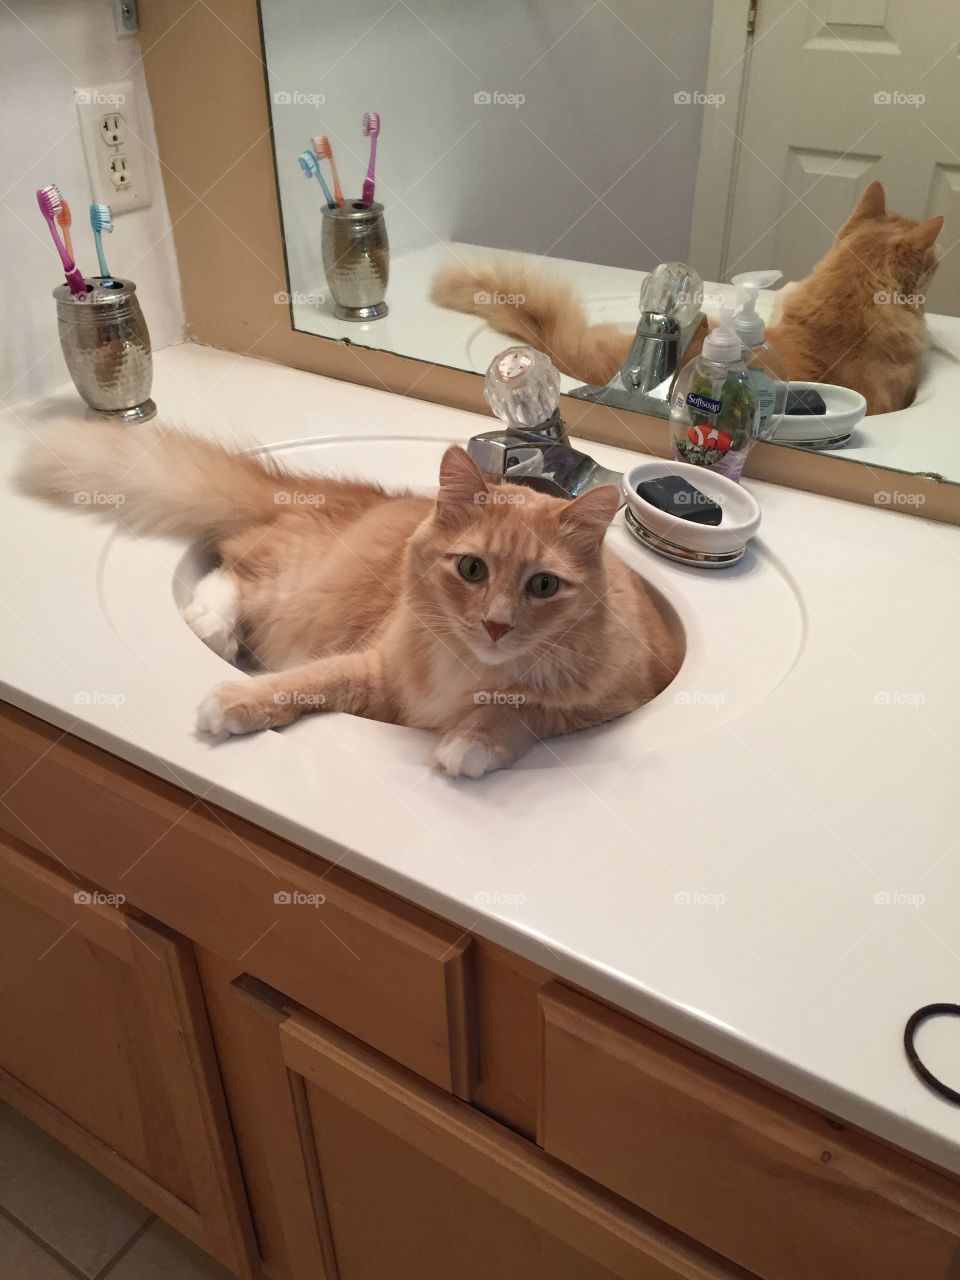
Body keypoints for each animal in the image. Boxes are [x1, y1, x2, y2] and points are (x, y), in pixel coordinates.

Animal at [24, 424, 686, 773]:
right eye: (472, 569)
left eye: (543, 585)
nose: (496, 626)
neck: (473, 669)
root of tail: (332, 493)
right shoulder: (377, 670)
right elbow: (306, 681)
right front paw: (235, 702)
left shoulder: (608, 701)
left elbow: (524, 712)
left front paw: (471, 743)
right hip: (295, 584)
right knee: (232, 571)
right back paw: (211, 624)